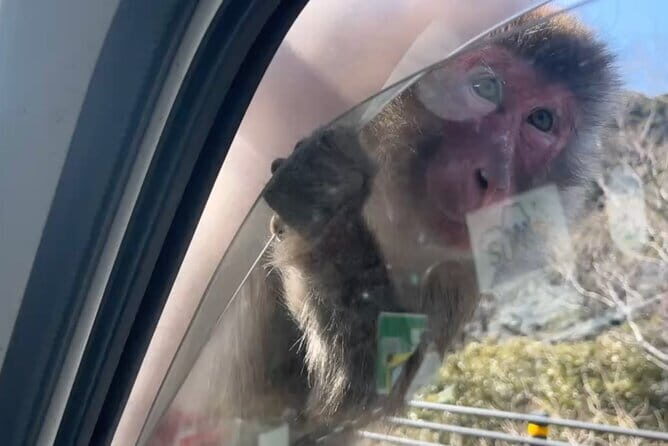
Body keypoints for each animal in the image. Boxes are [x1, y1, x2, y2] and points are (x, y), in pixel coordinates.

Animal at [209, 6, 619, 445]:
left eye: (541, 120)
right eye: (485, 87)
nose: (494, 179)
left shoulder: (461, 272)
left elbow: (360, 389)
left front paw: (328, 206)